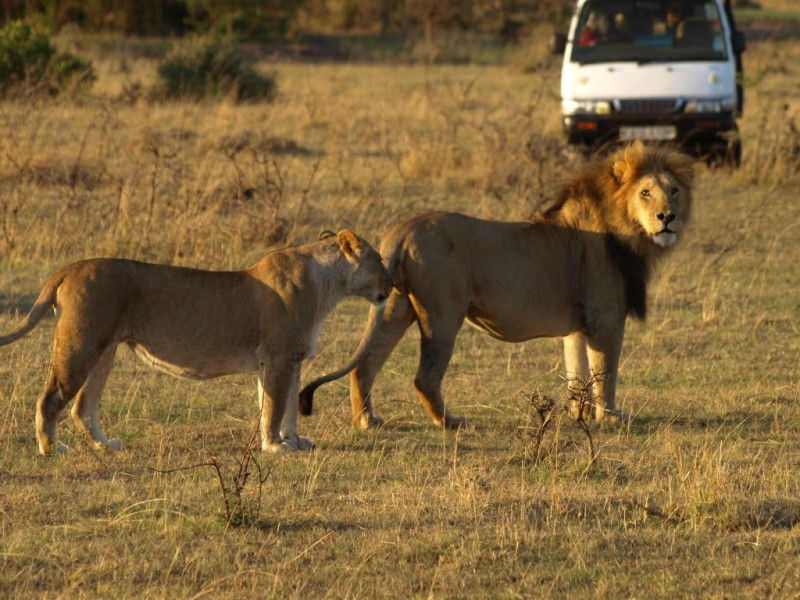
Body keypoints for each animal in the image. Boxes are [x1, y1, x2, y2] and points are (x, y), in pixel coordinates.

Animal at [0, 230, 394, 454]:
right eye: (380, 261)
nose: (392, 287)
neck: (328, 286)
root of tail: (68, 268)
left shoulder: (287, 359)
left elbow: (285, 410)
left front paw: (294, 443)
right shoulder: (279, 356)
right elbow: (274, 408)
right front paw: (274, 446)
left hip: (104, 351)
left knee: (83, 407)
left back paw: (105, 445)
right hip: (80, 346)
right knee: (49, 400)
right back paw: (51, 449)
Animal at [300, 142, 692, 426]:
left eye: (674, 190)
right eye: (645, 193)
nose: (668, 217)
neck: (628, 230)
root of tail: (402, 231)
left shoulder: (579, 326)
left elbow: (576, 369)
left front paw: (578, 414)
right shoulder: (605, 319)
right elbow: (605, 372)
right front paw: (610, 417)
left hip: (394, 306)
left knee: (366, 365)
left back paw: (367, 420)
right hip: (442, 314)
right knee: (425, 377)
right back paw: (451, 422)